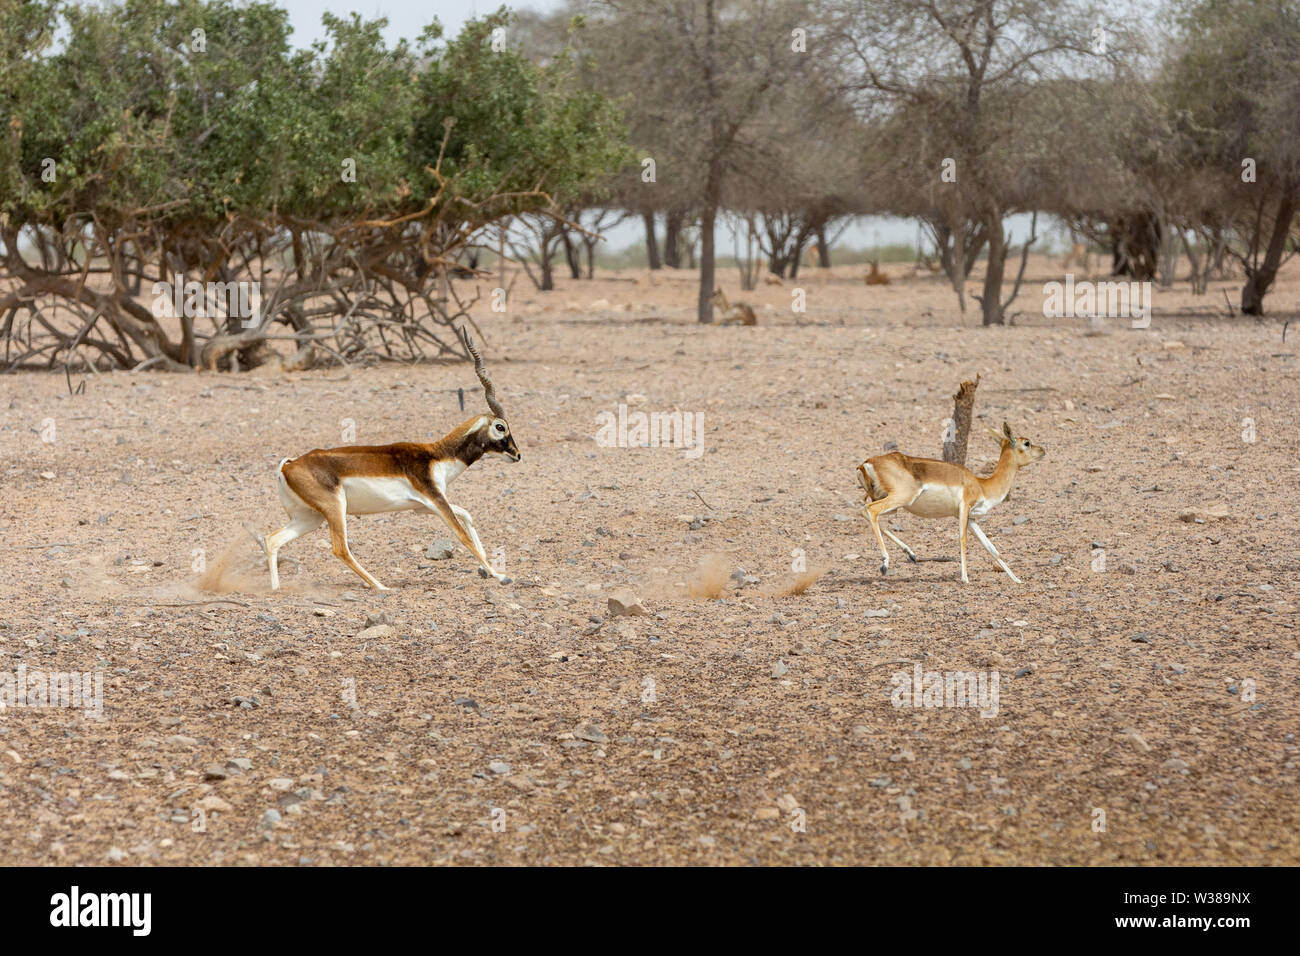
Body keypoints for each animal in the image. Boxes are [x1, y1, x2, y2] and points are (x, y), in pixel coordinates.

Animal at [257, 327, 520, 591]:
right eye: (500, 426)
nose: (517, 455)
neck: (437, 455)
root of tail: (289, 465)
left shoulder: (422, 507)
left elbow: (467, 515)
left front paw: (488, 570)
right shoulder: (435, 500)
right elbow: (462, 535)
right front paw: (499, 575)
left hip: (309, 517)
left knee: (272, 539)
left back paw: (276, 588)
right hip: (334, 509)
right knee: (340, 549)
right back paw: (381, 586)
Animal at [856, 422, 1045, 584]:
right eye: (1027, 443)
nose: (1043, 450)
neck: (982, 485)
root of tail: (866, 463)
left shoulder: (971, 518)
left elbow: (991, 548)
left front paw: (1017, 579)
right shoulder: (964, 509)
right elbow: (962, 540)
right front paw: (965, 578)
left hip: (891, 503)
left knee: (865, 512)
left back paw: (910, 554)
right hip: (901, 498)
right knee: (870, 510)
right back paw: (885, 564)